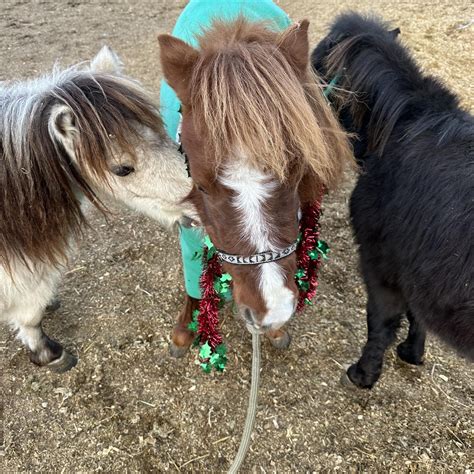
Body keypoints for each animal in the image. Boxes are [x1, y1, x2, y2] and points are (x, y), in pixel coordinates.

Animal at [312, 12, 472, 388]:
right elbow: (416, 315)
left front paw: (364, 374)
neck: (401, 126)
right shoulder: (413, 266)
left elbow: (381, 321)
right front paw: (413, 353)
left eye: (315, 60)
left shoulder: (381, 262)